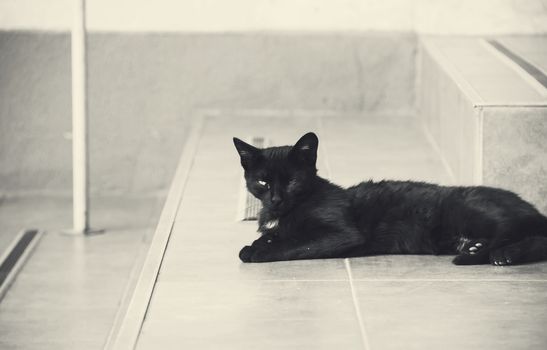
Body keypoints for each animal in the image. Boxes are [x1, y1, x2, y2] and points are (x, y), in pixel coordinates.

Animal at [233, 132, 547, 266]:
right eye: (263, 182)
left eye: (292, 181)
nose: (276, 199)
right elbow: (274, 237)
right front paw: (259, 243)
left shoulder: (341, 233)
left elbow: (296, 244)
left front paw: (258, 251)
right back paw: (481, 249)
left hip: (472, 210)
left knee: (522, 234)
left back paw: (498, 254)